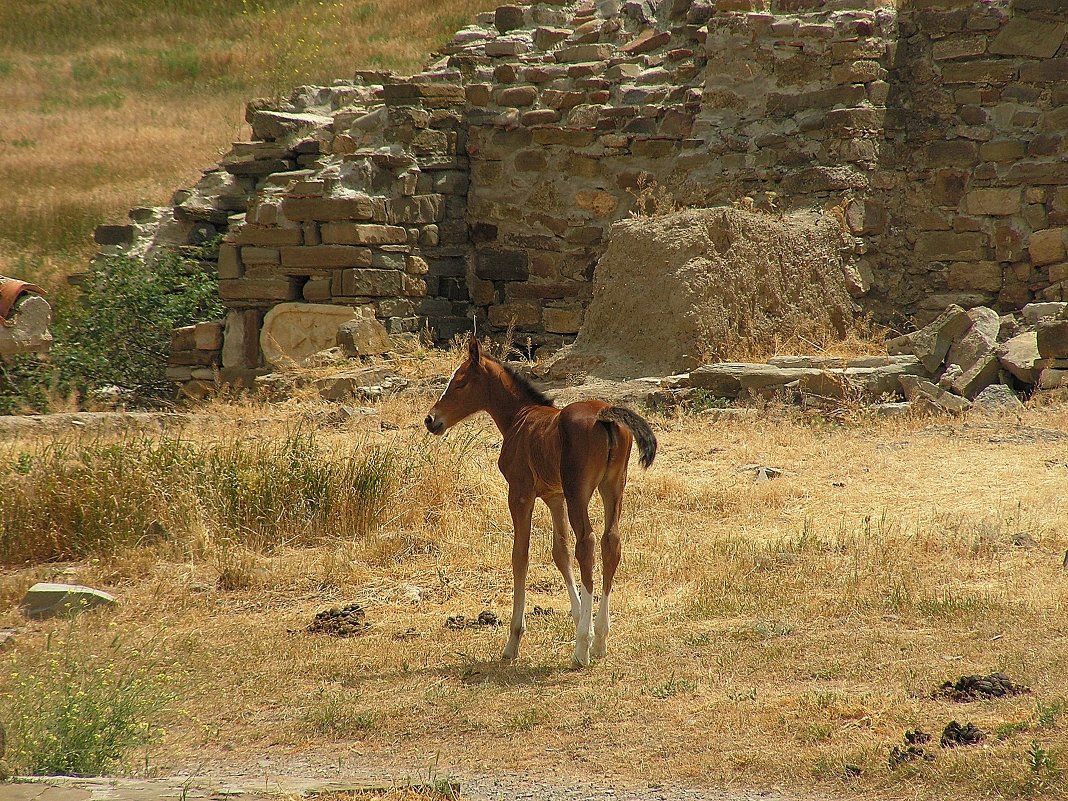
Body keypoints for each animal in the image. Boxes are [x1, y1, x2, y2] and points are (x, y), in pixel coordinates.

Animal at [422, 335, 653, 666]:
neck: (519, 418)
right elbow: (560, 552)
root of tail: (604, 415)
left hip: (578, 491)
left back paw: (582, 650)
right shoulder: (554, 497)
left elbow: (520, 555)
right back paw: (599, 641)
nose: (431, 420)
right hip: (613, 487)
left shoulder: (520, 493)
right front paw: (579, 618)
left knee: (587, 543)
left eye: (460, 382)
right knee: (610, 541)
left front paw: (513, 641)